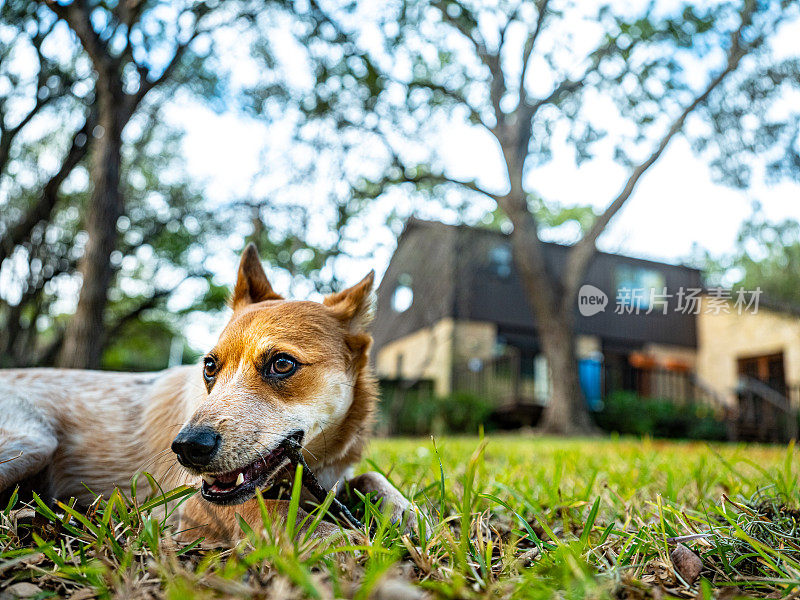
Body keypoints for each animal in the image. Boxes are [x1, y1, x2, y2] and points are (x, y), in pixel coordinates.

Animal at [0, 244, 410, 544]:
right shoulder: (191, 502)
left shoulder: (335, 480)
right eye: (210, 366)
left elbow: (373, 479)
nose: (186, 447)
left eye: (282, 364)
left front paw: (405, 513)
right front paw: (344, 537)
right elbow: (279, 512)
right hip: (33, 443)